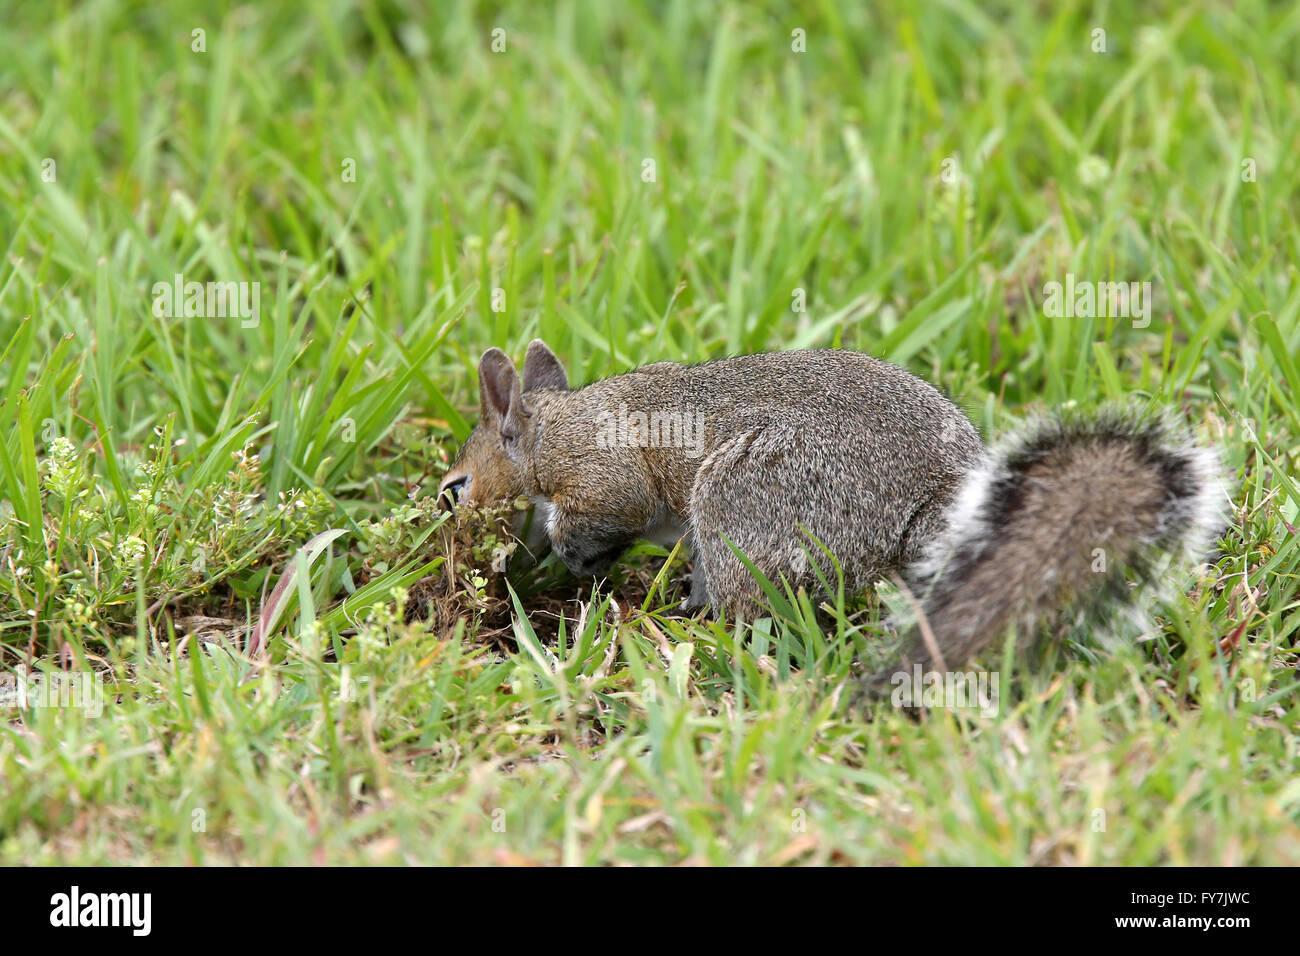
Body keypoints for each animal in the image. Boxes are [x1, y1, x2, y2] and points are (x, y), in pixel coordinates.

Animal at [439, 335, 1227, 686]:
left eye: (456, 486)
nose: (448, 517)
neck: (550, 424)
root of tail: (937, 505)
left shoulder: (597, 469)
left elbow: (607, 507)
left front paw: (573, 554)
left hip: (749, 498)